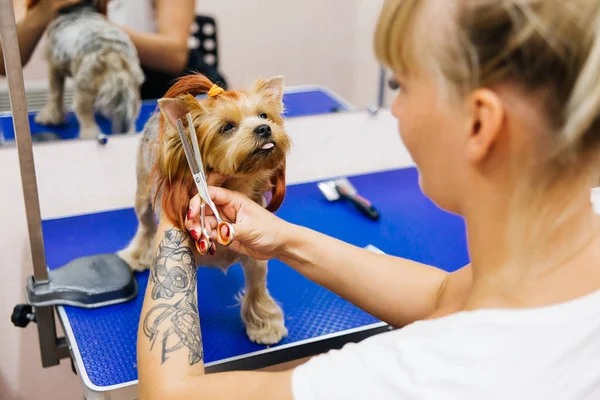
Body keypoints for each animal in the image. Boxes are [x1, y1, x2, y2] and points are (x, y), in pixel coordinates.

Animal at [29, 0, 144, 140]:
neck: (77, 8)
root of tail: (112, 54)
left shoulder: (54, 67)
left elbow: (55, 94)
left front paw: (50, 117)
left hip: (83, 90)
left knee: (87, 120)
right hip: (131, 94)